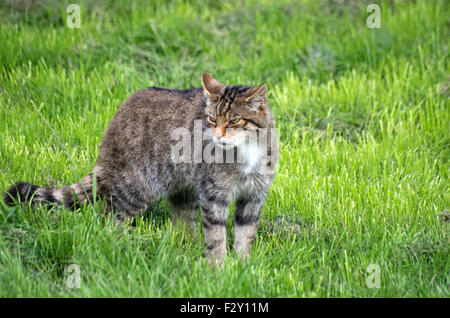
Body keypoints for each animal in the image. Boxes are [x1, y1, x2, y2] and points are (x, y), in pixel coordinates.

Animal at [3, 73, 278, 264]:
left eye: (233, 121)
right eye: (212, 119)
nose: (217, 135)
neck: (248, 151)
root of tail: (115, 120)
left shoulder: (253, 196)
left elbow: (245, 233)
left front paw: (243, 265)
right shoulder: (214, 195)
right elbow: (216, 235)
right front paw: (218, 267)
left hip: (182, 188)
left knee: (181, 222)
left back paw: (184, 245)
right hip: (134, 187)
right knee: (109, 221)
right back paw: (120, 246)